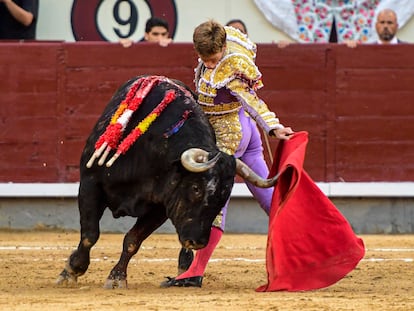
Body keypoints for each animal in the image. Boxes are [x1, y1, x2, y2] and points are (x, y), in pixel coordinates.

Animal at [57, 76, 278, 290]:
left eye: (225, 195)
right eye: (196, 188)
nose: (198, 242)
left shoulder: (161, 206)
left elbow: (132, 241)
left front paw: (117, 277)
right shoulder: (90, 183)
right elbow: (90, 234)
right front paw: (71, 271)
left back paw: (185, 271)